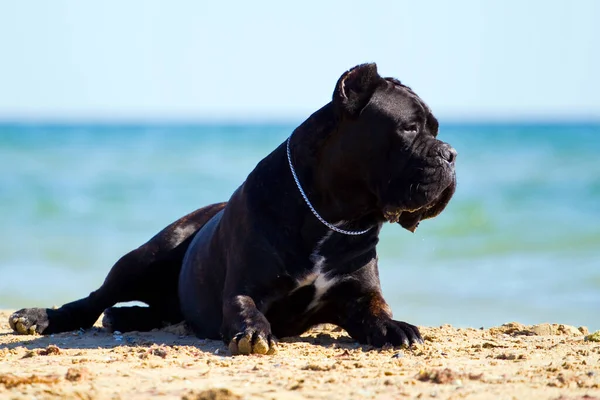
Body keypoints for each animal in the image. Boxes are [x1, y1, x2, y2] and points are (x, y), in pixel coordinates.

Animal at [9, 64, 458, 354]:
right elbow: (244, 307)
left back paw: (124, 319)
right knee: (91, 300)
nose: (451, 153)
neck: (333, 218)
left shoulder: (358, 296)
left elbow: (377, 311)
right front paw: (254, 332)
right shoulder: (245, 286)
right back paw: (40, 317)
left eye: (435, 129)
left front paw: (396, 328)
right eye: (409, 128)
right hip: (145, 256)